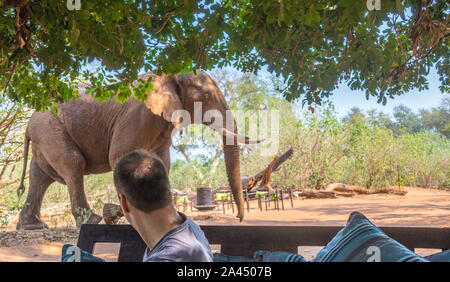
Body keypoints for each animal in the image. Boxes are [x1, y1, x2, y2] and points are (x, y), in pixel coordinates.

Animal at [16, 70, 256, 229]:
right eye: (205, 98)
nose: (239, 218)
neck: (171, 75)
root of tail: (28, 124)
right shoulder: (139, 115)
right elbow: (119, 156)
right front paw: (115, 214)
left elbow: (162, 163)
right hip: (50, 131)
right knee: (73, 165)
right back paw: (93, 220)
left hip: (46, 135)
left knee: (41, 176)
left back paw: (32, 226)